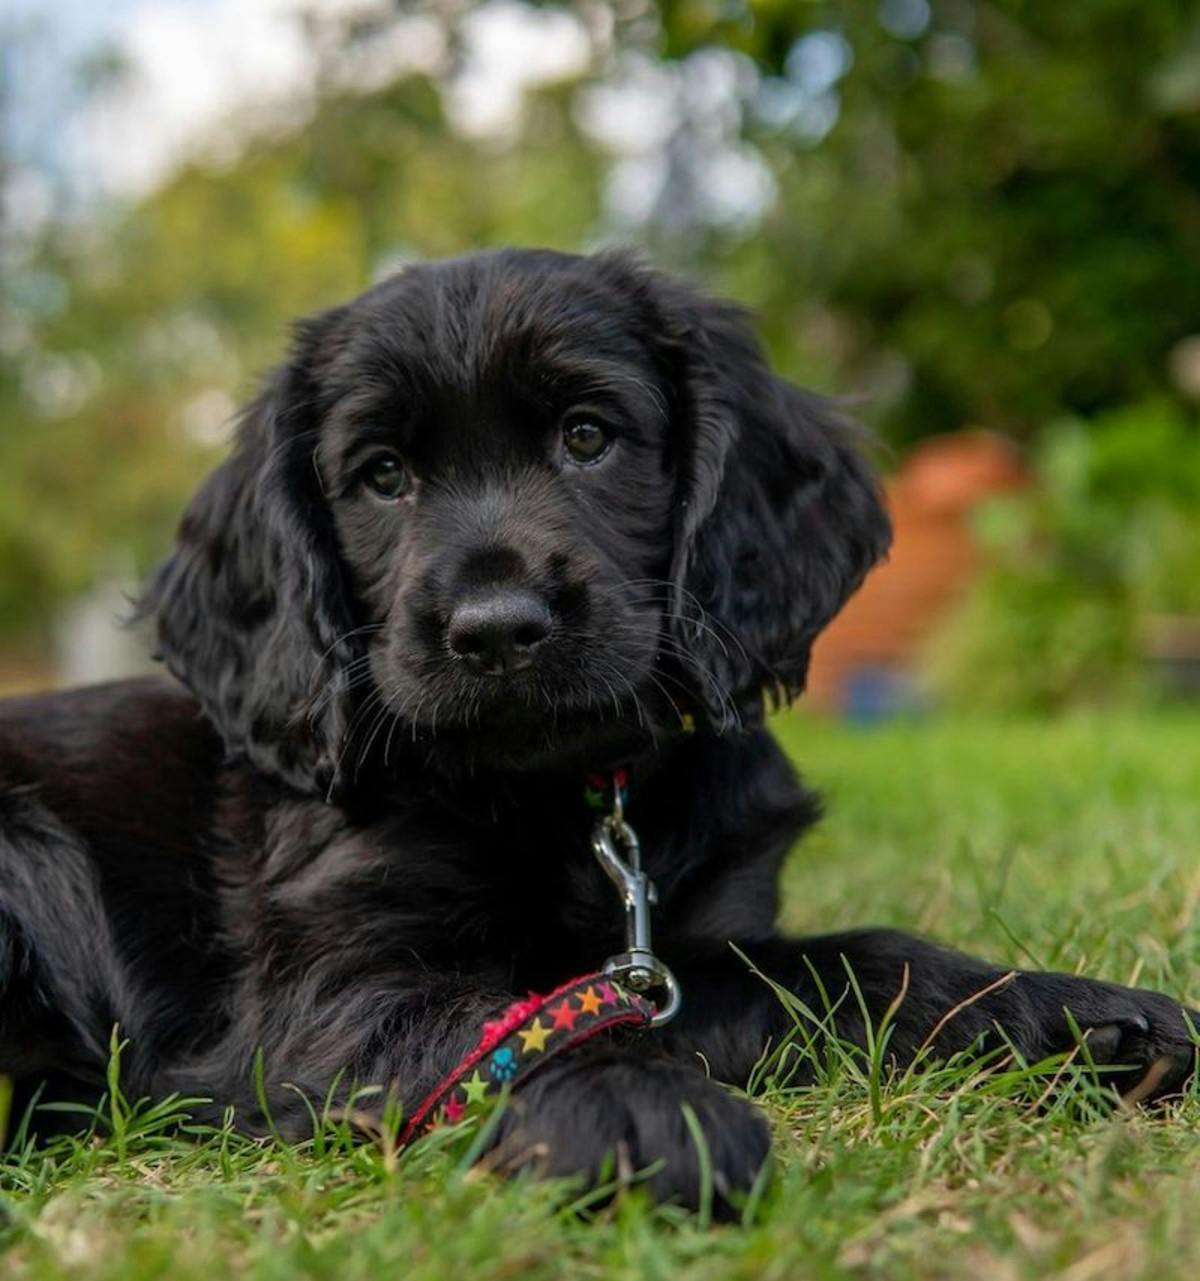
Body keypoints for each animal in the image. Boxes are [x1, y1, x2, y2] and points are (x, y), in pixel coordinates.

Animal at [0, 247, 1193, 1209]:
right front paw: (637, 1107)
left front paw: (1072, 1018)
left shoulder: (683, 957)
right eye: (382, 476)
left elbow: (856, 964)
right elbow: (494, 1022)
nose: (496, 628)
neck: (560, 794)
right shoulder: (326, 992)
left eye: (587, 437)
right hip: (32, 852)